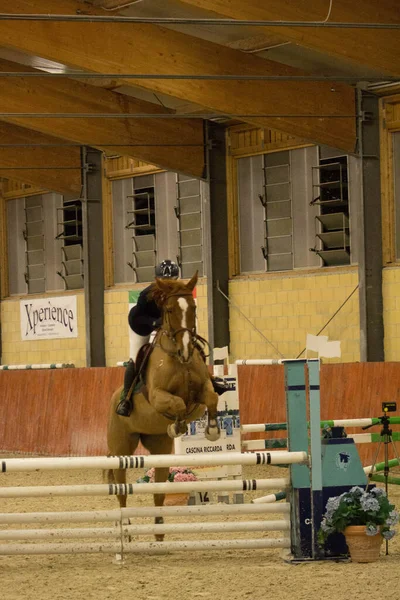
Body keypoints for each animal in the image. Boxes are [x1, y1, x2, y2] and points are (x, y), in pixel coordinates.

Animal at [106, 270, 220, 540]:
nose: (187, 350)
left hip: (159, 450)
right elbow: (177, 404)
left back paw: (159, 532)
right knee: (121, 490)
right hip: (121, 449)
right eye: (168, 309)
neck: (178, 358)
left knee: (158, 493)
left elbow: (211, 399)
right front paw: (177, 426)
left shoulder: (203, 393)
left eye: (193, 308)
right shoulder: (158, 396)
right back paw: (125, 529)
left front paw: (212, 430)